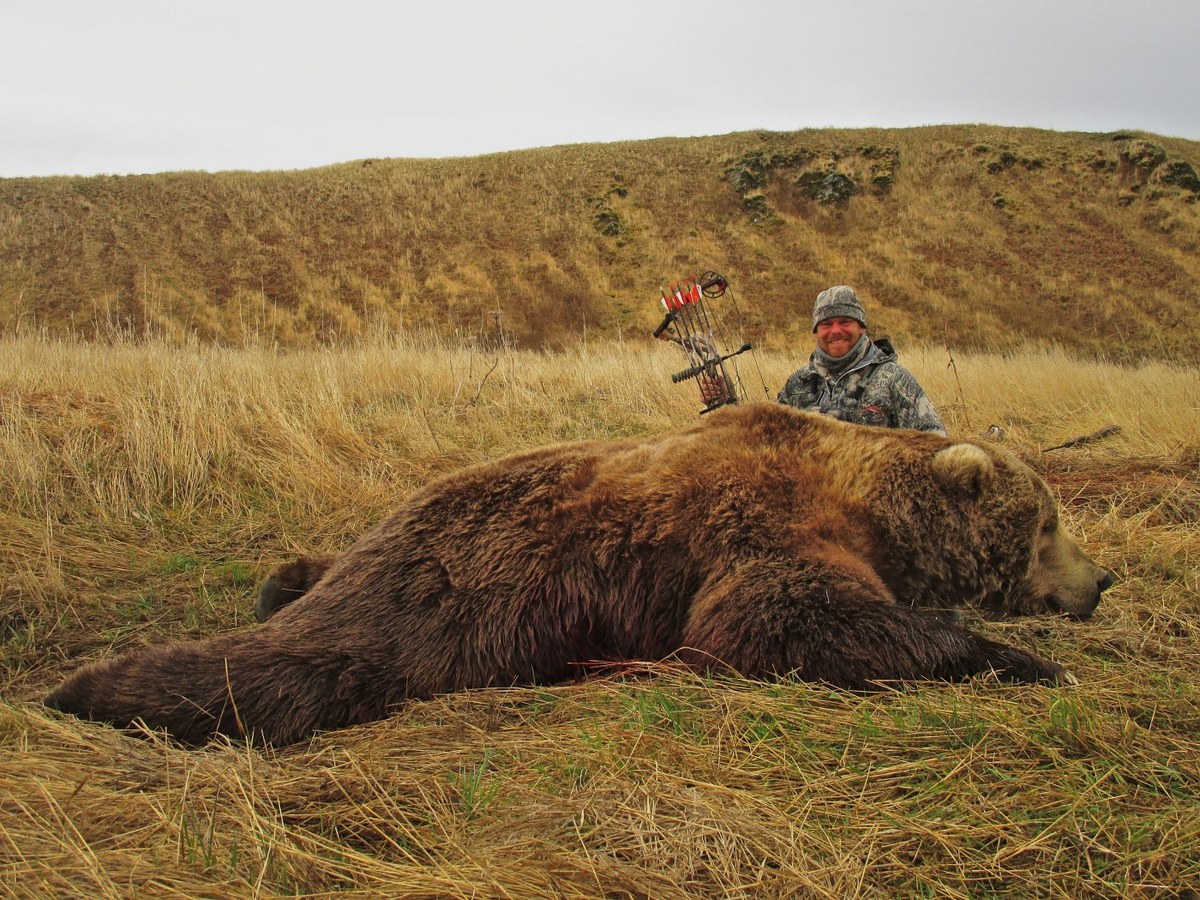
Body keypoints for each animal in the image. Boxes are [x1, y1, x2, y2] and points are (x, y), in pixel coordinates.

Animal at [44, 403, 1114, 746]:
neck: (865, 499)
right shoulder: (760, 525)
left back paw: (281, 581)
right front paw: (1022, 659)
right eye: (1050, 522)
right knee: (301, 668)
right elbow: (773, 618)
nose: (1100, 582)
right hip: (464, 597)